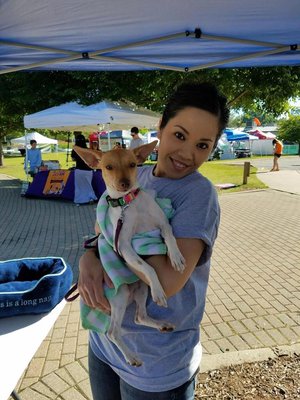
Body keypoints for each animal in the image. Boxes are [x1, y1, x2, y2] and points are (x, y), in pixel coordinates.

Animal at [73, 141, 185, 366]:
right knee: (112, 332)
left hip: (140, 288)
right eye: (108, 167)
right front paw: (159, 290)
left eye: (132, 164)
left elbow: (170, 237)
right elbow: (148, 267)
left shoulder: (162, 224)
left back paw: (161, 325)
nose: (124, 183)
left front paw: (176, 257)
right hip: (120, 294)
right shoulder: (123, 246)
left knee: (139, 317)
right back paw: (131, 356)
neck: (129, 205)